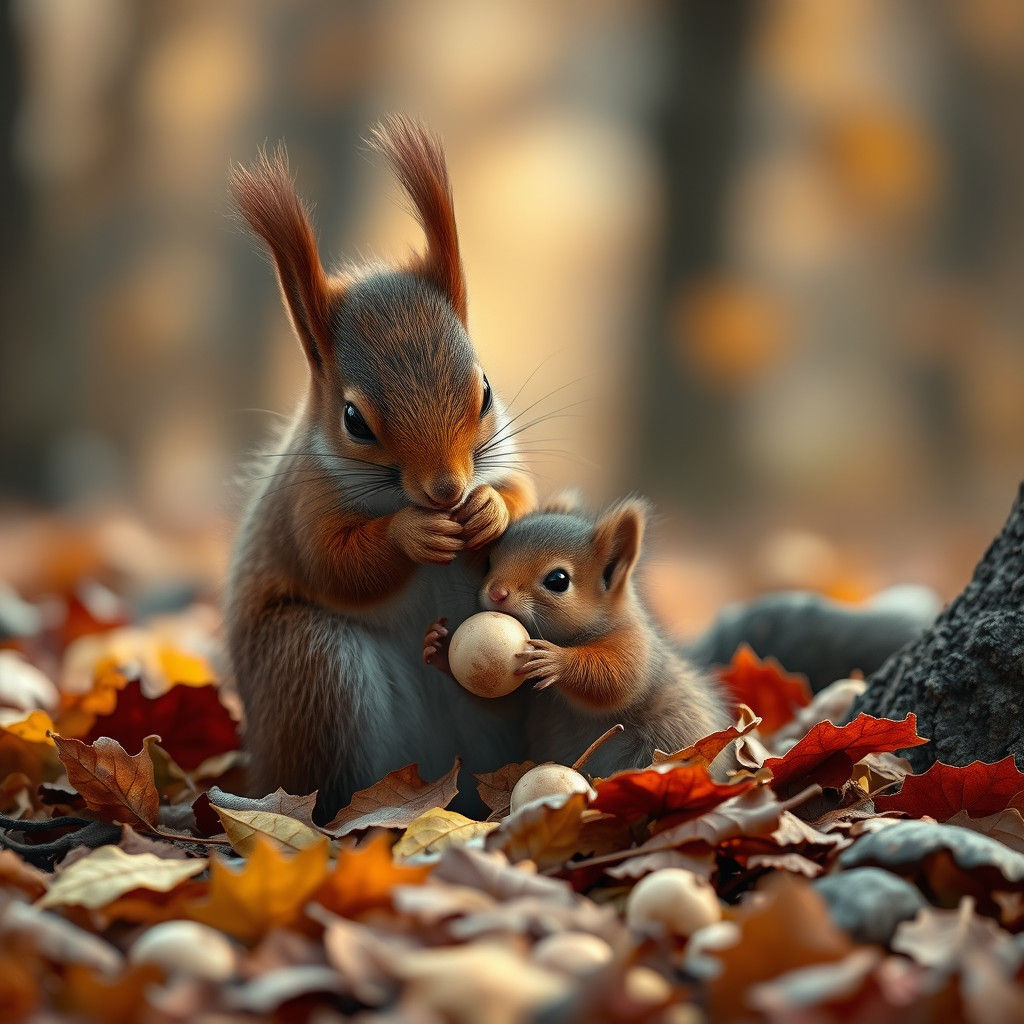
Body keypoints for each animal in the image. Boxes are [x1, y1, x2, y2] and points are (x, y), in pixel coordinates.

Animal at [225, 116, 535, 819]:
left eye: (484, 390)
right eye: (354, 421)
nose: (447, 490)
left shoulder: (504, 457)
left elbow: (525, 492)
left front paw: (489, 509)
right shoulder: (303, 507)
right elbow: (337, 564)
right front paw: (413, 534)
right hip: (314, 665)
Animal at [423, 495, 732, 777]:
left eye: (558, 580)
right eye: (488, 563)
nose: (496, 592)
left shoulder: (635, 643)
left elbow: (619, 678)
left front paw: (556, 661)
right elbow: (502, 706)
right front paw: (437, 647)